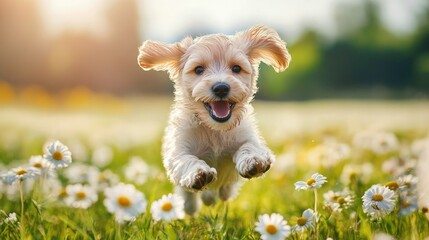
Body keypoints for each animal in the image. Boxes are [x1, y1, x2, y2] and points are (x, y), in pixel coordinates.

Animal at [137, 25, 290, 215]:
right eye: (199, 69)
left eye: (236, 68)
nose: (221, 88)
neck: (215, 129)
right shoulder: (178, 150)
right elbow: (186, 160)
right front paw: (198, 174)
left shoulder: (249, 137)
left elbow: (249, 146)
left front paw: (253, 160)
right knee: (190, 198)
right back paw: (191, 206)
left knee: (224, 192)